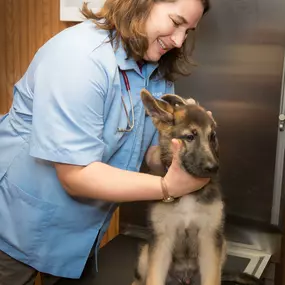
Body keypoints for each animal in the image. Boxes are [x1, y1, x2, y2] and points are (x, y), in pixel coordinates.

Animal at [131, 89, 262, 284]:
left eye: (212, 136)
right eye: (190, 137)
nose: (213, 168)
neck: (188, 194)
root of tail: (183, 278)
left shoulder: (209, 239)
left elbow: (212, 278)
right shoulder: (161, 240)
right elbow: (153, 279)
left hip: (222, 245)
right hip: (145, 254)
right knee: (141, 278)